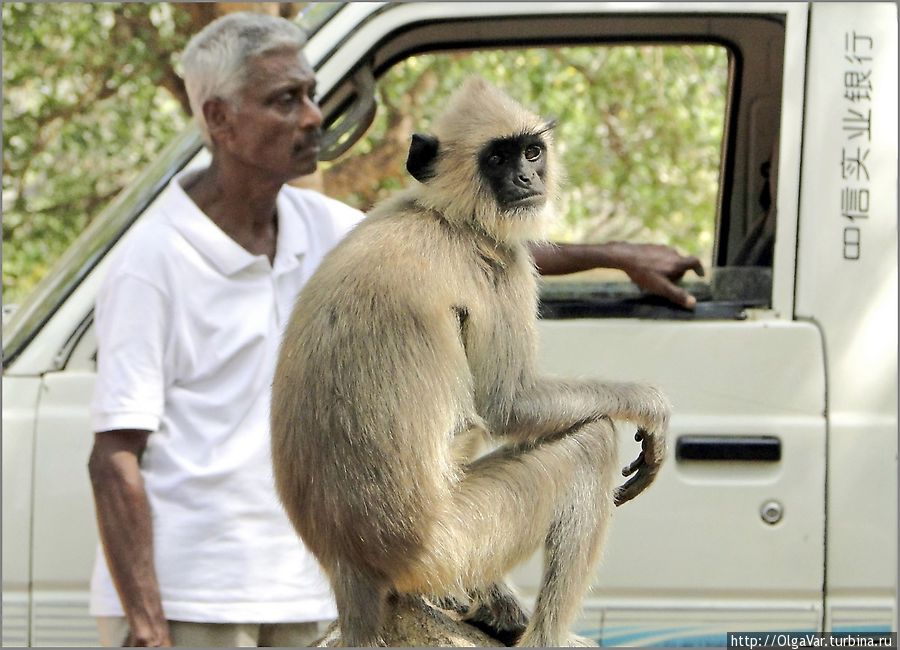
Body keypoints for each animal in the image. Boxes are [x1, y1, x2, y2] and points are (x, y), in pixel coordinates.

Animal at [268, 78, 668, 644]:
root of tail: (349, 566)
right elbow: (508, 404)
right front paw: (649, 405)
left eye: (531, 152)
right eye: (497, 158)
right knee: (588, 443)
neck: (442, 214)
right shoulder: (501, 266)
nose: (526, 177)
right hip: (455, 540)